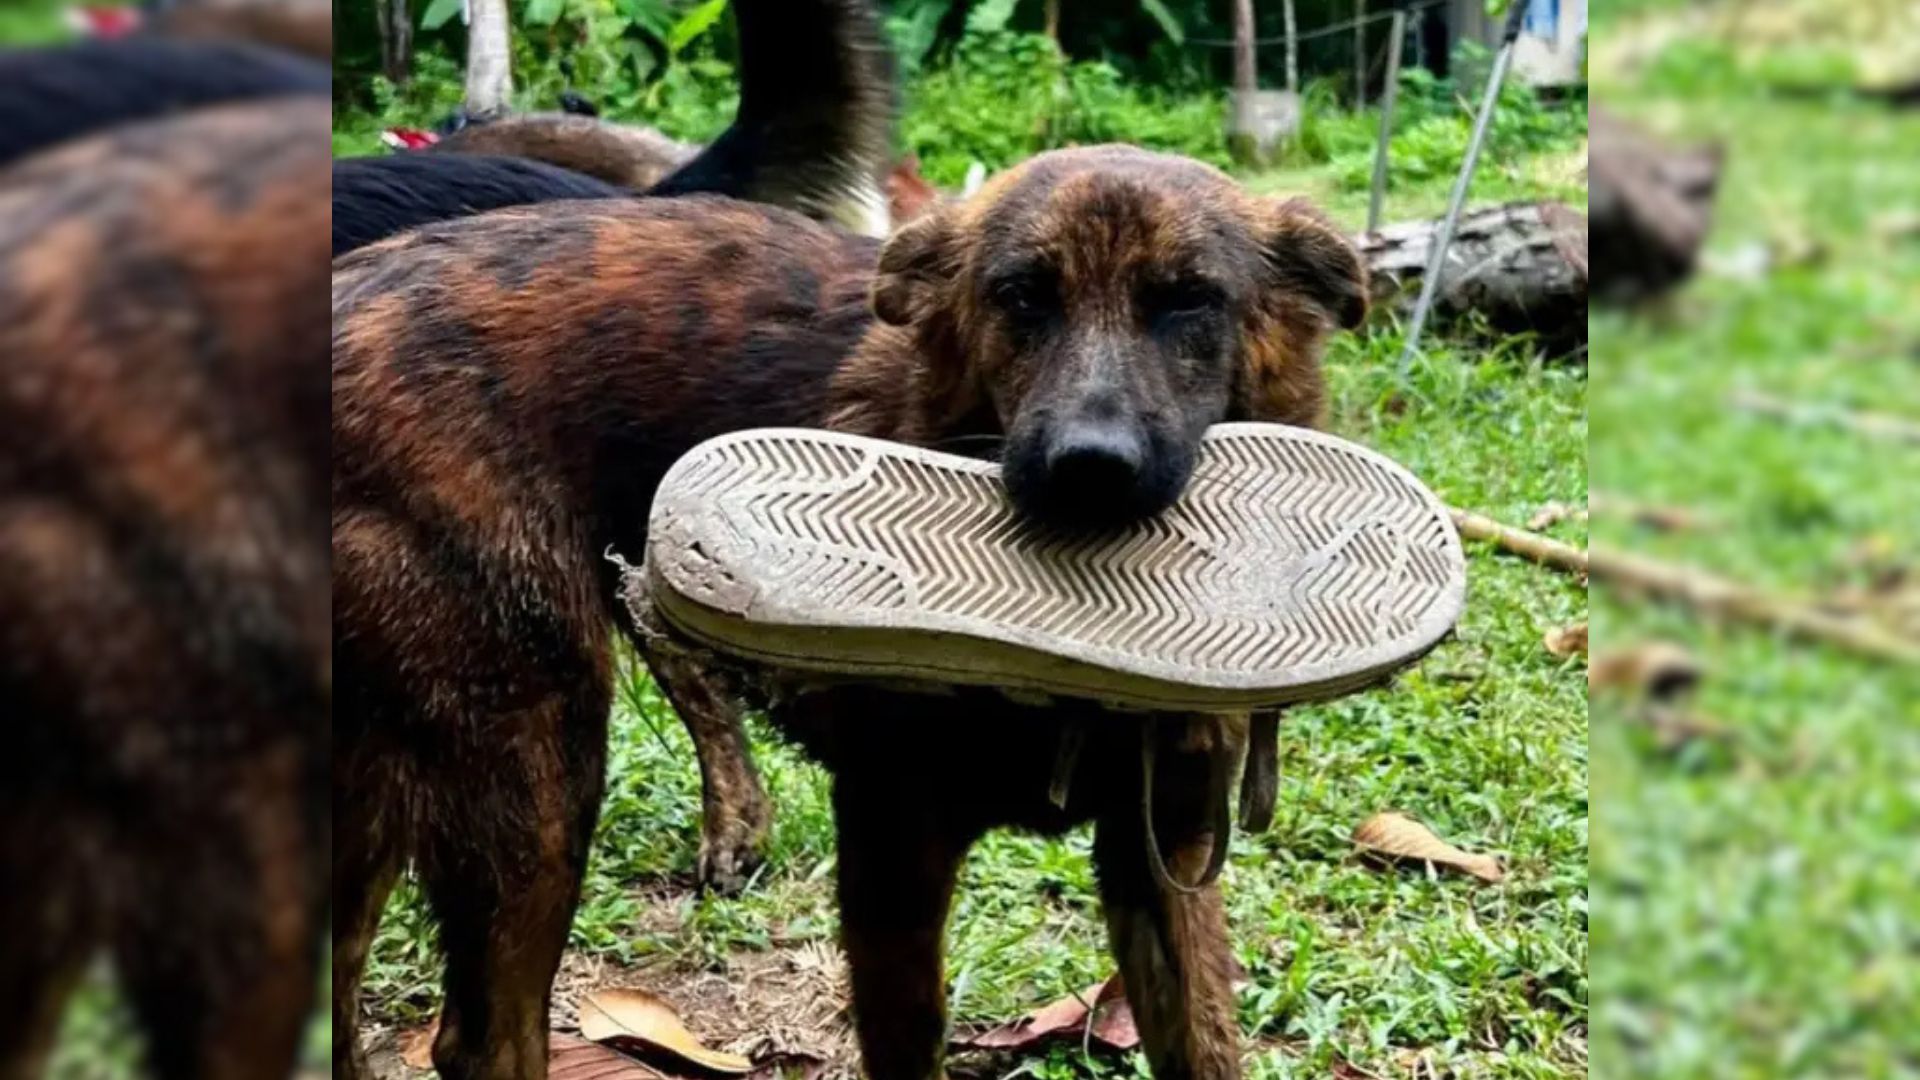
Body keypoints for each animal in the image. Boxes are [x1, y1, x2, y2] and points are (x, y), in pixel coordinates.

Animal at [330, 145, 1367, 1076]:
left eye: (1190, 300)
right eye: (1020, 295)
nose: (1089, 469)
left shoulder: (1165, 856)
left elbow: (1207, 1043)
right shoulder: (889, 843)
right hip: (539, 765)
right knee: (480, 1039)